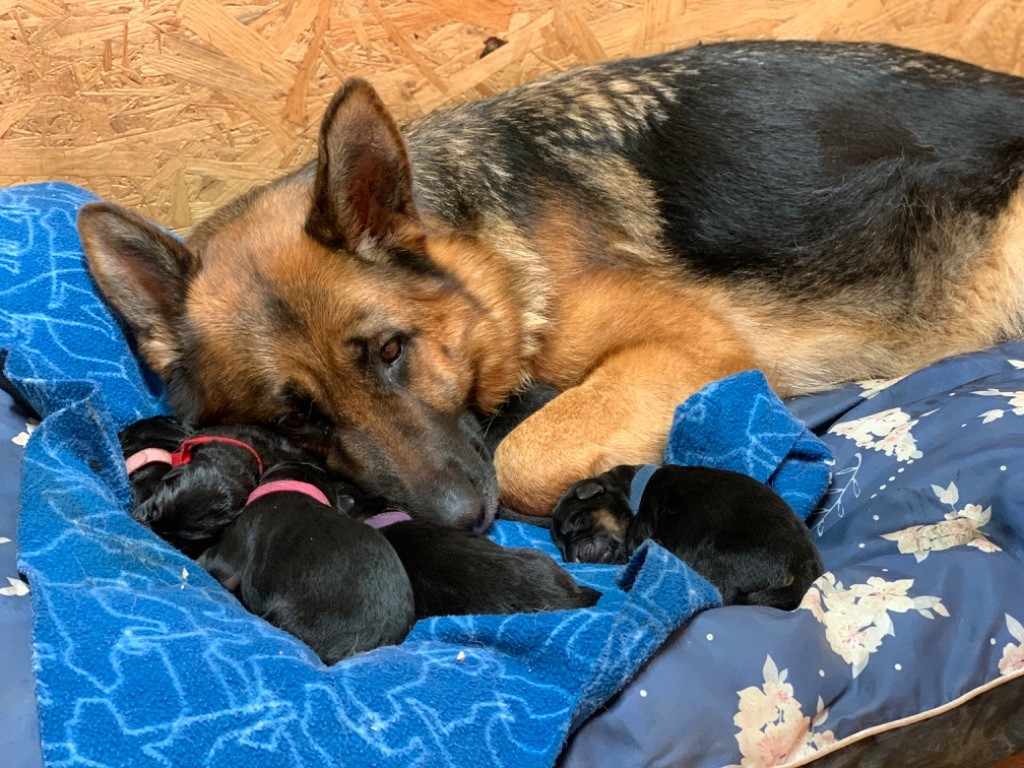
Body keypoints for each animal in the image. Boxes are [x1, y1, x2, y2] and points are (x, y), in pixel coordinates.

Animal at [77, 41, 1024, 532]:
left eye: (391, 351)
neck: (491, 266)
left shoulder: (691, 347)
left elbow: (524, 451)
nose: (460, 520)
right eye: (295, 420)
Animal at [552, 462, 823, 614]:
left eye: (577, 520)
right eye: (562, 552)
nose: (574, 557)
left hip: (717, 551)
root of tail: (802, 571)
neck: (633, 493)